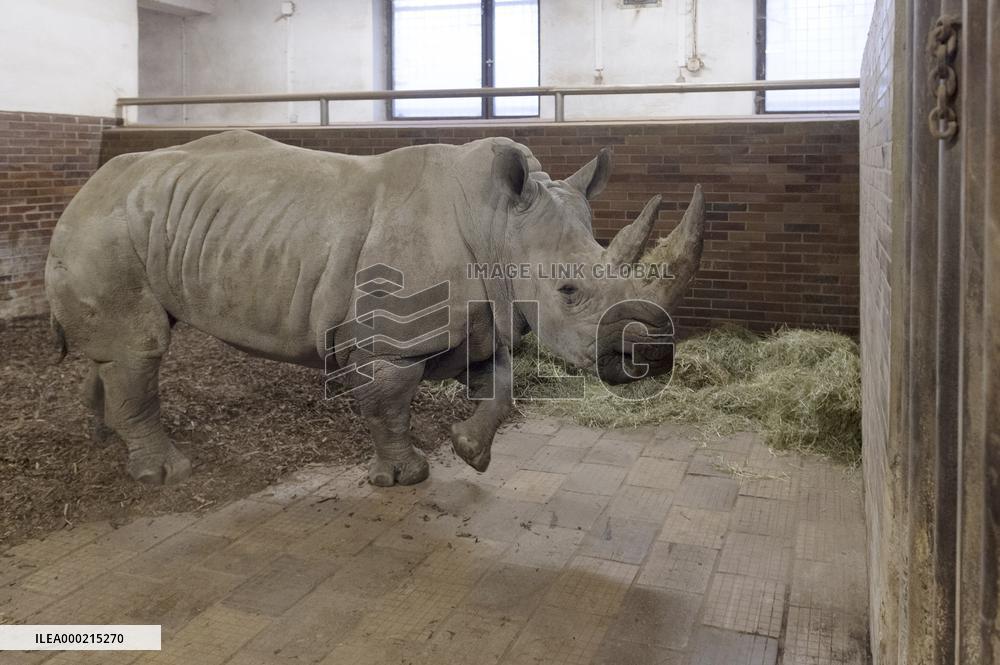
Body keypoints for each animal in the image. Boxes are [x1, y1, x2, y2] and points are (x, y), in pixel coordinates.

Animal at [45, 130, 705, 487]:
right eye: (570, 291)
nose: (651, 356)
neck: (498, 223)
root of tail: (86, 187)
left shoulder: (483, 315)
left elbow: (500, 386)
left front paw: (472, 453)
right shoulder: (395, 339)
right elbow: (390, 403)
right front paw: (405, 477)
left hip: (140, 221)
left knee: (121, 349)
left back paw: (105, 439)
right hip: (105, 226)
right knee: (141, 346)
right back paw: (166, 475)